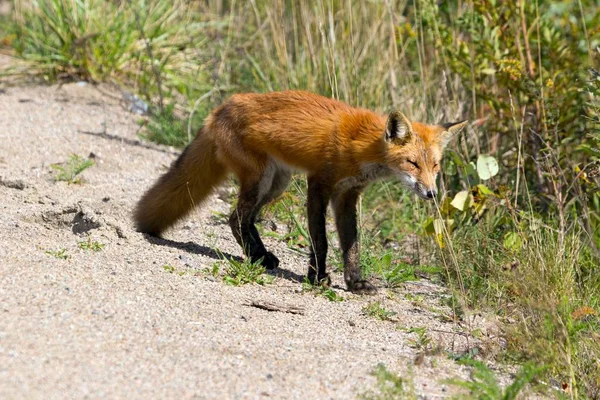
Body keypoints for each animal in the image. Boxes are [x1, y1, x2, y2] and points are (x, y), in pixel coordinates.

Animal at [134, 92, 466, 296]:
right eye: (412, 163)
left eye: (435, 165)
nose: (431, 193)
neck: (364, 148)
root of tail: (218, 109)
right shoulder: (319, 185)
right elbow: (321, 241)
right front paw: (317, 277)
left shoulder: (347, 196)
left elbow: (351, 245)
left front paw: (355, 282)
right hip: (260, 179)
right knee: (236, 217)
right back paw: (258, 256)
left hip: (276, 184)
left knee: (241, 219)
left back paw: (261, 256)